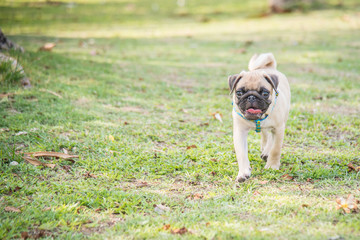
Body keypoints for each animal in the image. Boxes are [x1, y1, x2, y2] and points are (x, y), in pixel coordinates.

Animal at [229, 53, 292, 182]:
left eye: (265, 93)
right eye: (239, 93)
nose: (251, 97)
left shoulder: (279, 129)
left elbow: (275, 149)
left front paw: (272, 166)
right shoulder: (240, 132)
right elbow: (241, 154)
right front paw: (243, 172)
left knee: (270, 139)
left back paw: (266, 152)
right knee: (265, 134)